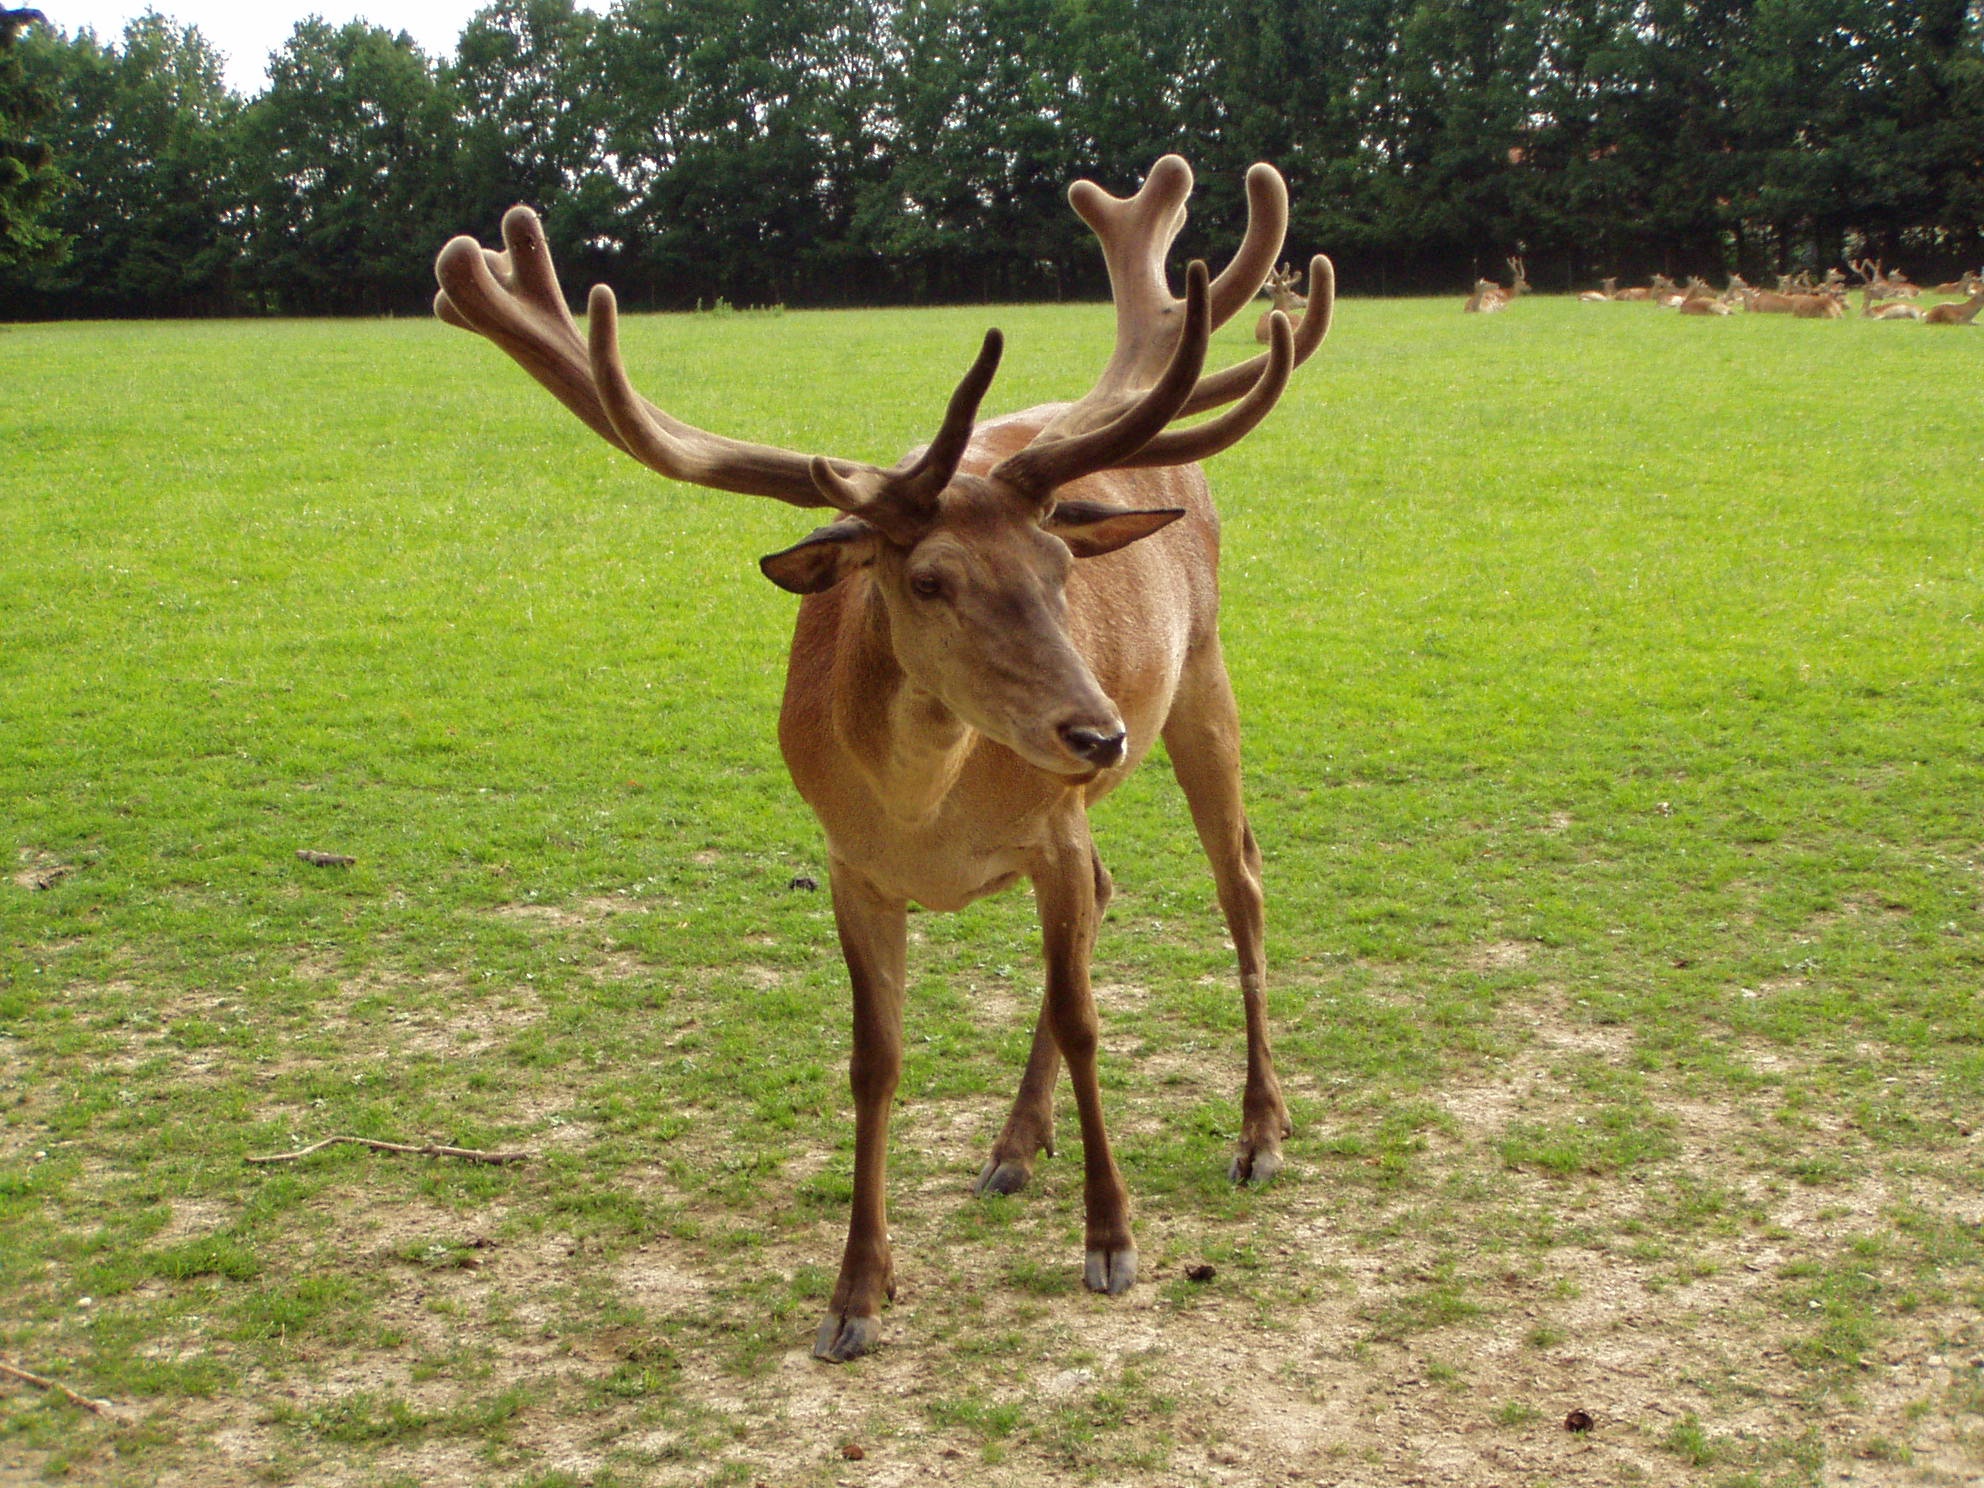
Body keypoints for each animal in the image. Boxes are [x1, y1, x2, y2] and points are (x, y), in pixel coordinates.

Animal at [434, 160, 1333, 1364]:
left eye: (1057, 565)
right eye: (927, 579)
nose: (1098, 733)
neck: (923, 813)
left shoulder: (1051, 827)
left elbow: (1088, 1020)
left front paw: (1112, 1238)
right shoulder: (851, 867)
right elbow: (876, 1064)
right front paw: (857, 1292)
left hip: (1205, 677)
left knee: (1241, 882)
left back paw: (1260, 1132)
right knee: (1117, 893)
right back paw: (1014, 1144)